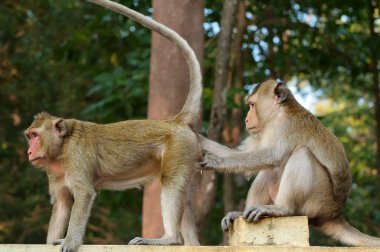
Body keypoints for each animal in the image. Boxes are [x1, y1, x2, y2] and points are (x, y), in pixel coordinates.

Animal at [23, 0, 202, 252]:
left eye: (35, 136)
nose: (30, 151)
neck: (62, 147)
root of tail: (174, 121)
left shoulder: (77, 159)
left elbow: (84, 195)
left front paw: (70, 242)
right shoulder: (54, 174)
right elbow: (62, 205)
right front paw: (52, 241)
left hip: (179, 148)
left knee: (171, 184)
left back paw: (169, 239)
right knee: (182, 195)